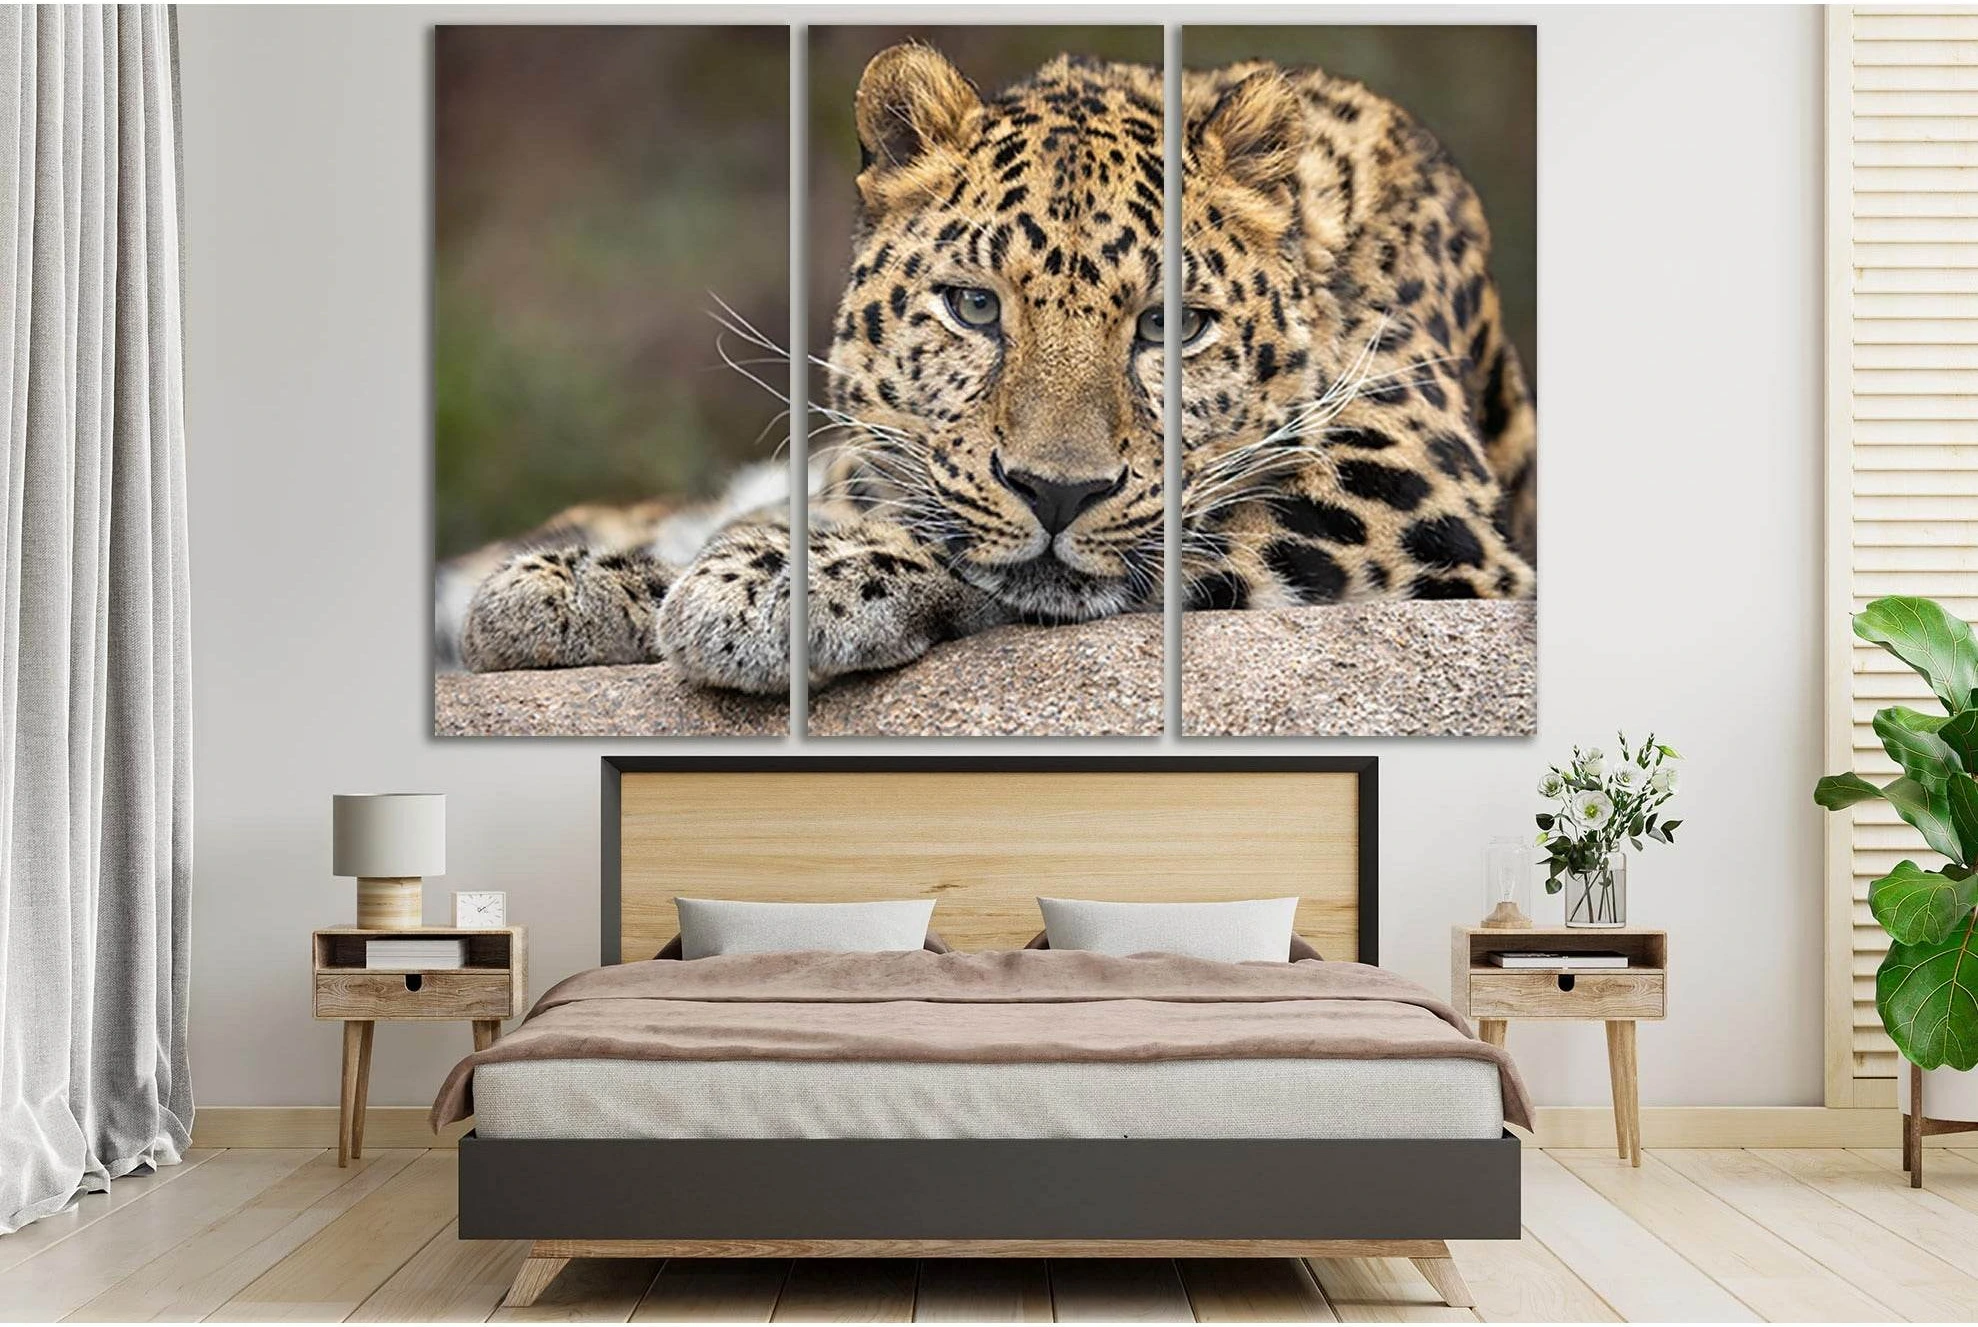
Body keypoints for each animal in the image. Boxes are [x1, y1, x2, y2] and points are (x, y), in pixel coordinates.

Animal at [441, 43, 1535, 693]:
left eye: (1170, 326)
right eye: (975, 308)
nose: (1058, 491)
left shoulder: (1411, 499)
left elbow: (1150, 541)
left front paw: (770, 586)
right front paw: (584, 584)